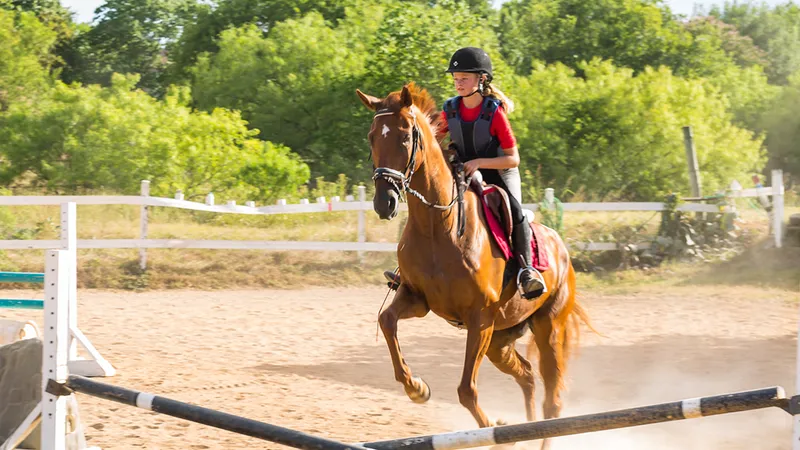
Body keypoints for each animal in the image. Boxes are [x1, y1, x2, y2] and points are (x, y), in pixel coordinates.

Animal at [356, 82, 592, 448]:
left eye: (406, 137)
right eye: (371, 137)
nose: (385, 203)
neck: (437, 227)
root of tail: (561, 248)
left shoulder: (479, 319)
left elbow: (466, 390)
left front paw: (490, 428)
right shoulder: (417, 299)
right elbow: (387, 321)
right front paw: (416, 388)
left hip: (547, 327)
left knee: (552, 401)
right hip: (500, 338)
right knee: (526, 375)